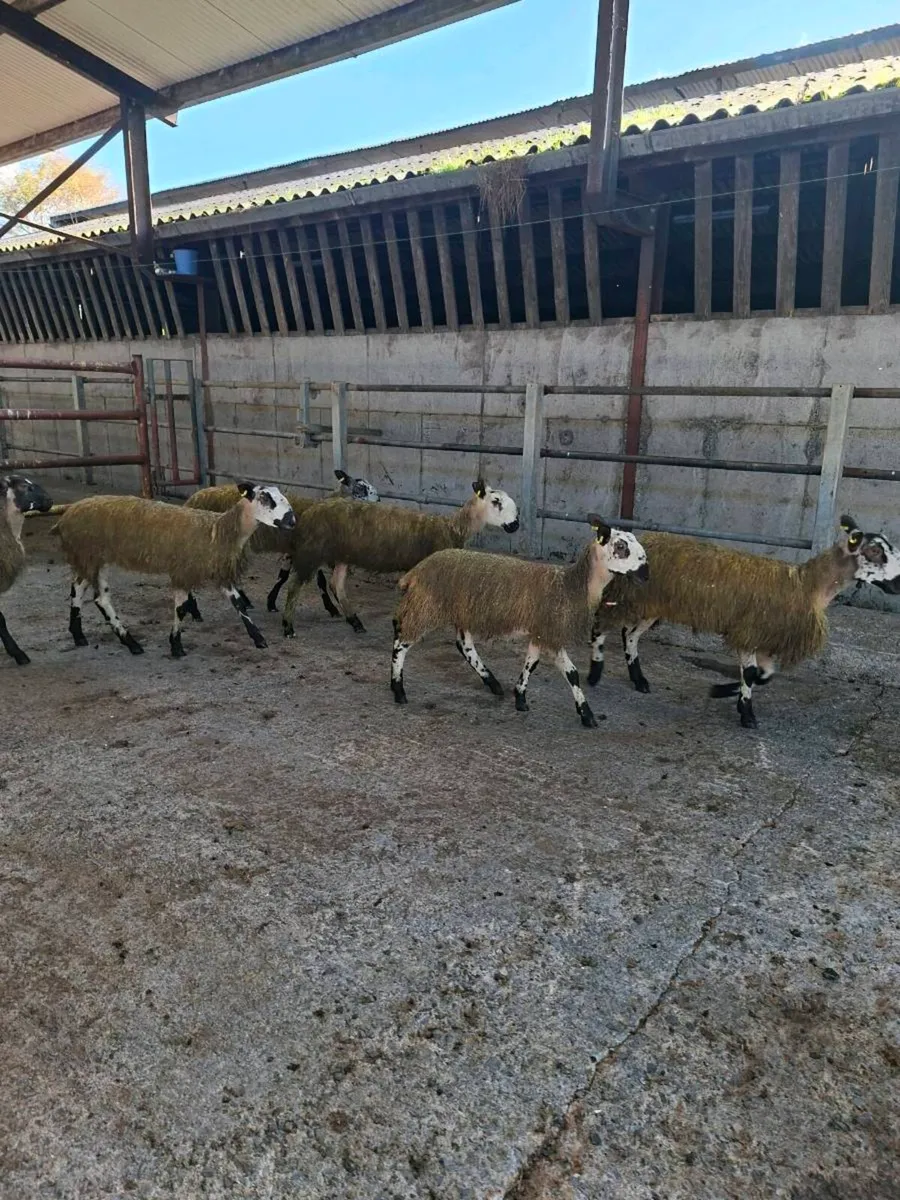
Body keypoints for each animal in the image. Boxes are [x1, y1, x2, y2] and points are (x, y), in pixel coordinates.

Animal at [56, 481, 296, 658]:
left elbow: (238, 603)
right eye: (265, 497)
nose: (292, 521)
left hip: (89, 557)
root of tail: (69, 512)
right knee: (101, 599)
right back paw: (131, 642)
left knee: (77, 590)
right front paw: (176, 645)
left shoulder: (218, 570)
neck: (218, 530)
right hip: (93, 555)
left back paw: (79, 635)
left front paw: (259, 639)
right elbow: (180, 609)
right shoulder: (183, 570)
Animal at [184, 469, 379, 616]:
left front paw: (271, 602)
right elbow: (319, 581)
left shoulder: (293, 549)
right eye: (361, 488)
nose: (378, 501)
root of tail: (193, 498)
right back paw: (195, 610)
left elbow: (282, 576)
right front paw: (331, 608)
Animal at [280, 479, 521, 638]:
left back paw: (355, 622)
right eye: (496, 501)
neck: (451, 529)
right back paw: (288, 626)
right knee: (294, 585)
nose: (516, 525)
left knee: (335, 584)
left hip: (341, 554)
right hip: (312, 551)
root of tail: (311, 509)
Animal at [390, 518, 649, 728]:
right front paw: (587, 715)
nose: (646, 571)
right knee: (401, 643)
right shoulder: (552, 632)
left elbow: (531, 663)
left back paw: (492, 683)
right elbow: (572, 673)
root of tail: (417, 570)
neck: (571, 586)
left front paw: (520, 697)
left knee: (464, 646)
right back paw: (398, 689)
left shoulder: (540, 631)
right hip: (426, 607)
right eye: (621, 546)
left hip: (460, 612)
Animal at [587, 515, 900, 729]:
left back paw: (638, 679)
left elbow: (764, 675)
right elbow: (751, 674)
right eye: (875, 551)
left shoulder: (764, 638)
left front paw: (730, 694)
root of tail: (647, 540)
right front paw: (744, 712)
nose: (898, 583)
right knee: (602, 625)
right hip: (631, 597)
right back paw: (595, 673)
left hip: (653, 605)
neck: (808, 585)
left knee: (630, 635)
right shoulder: (749, 631)